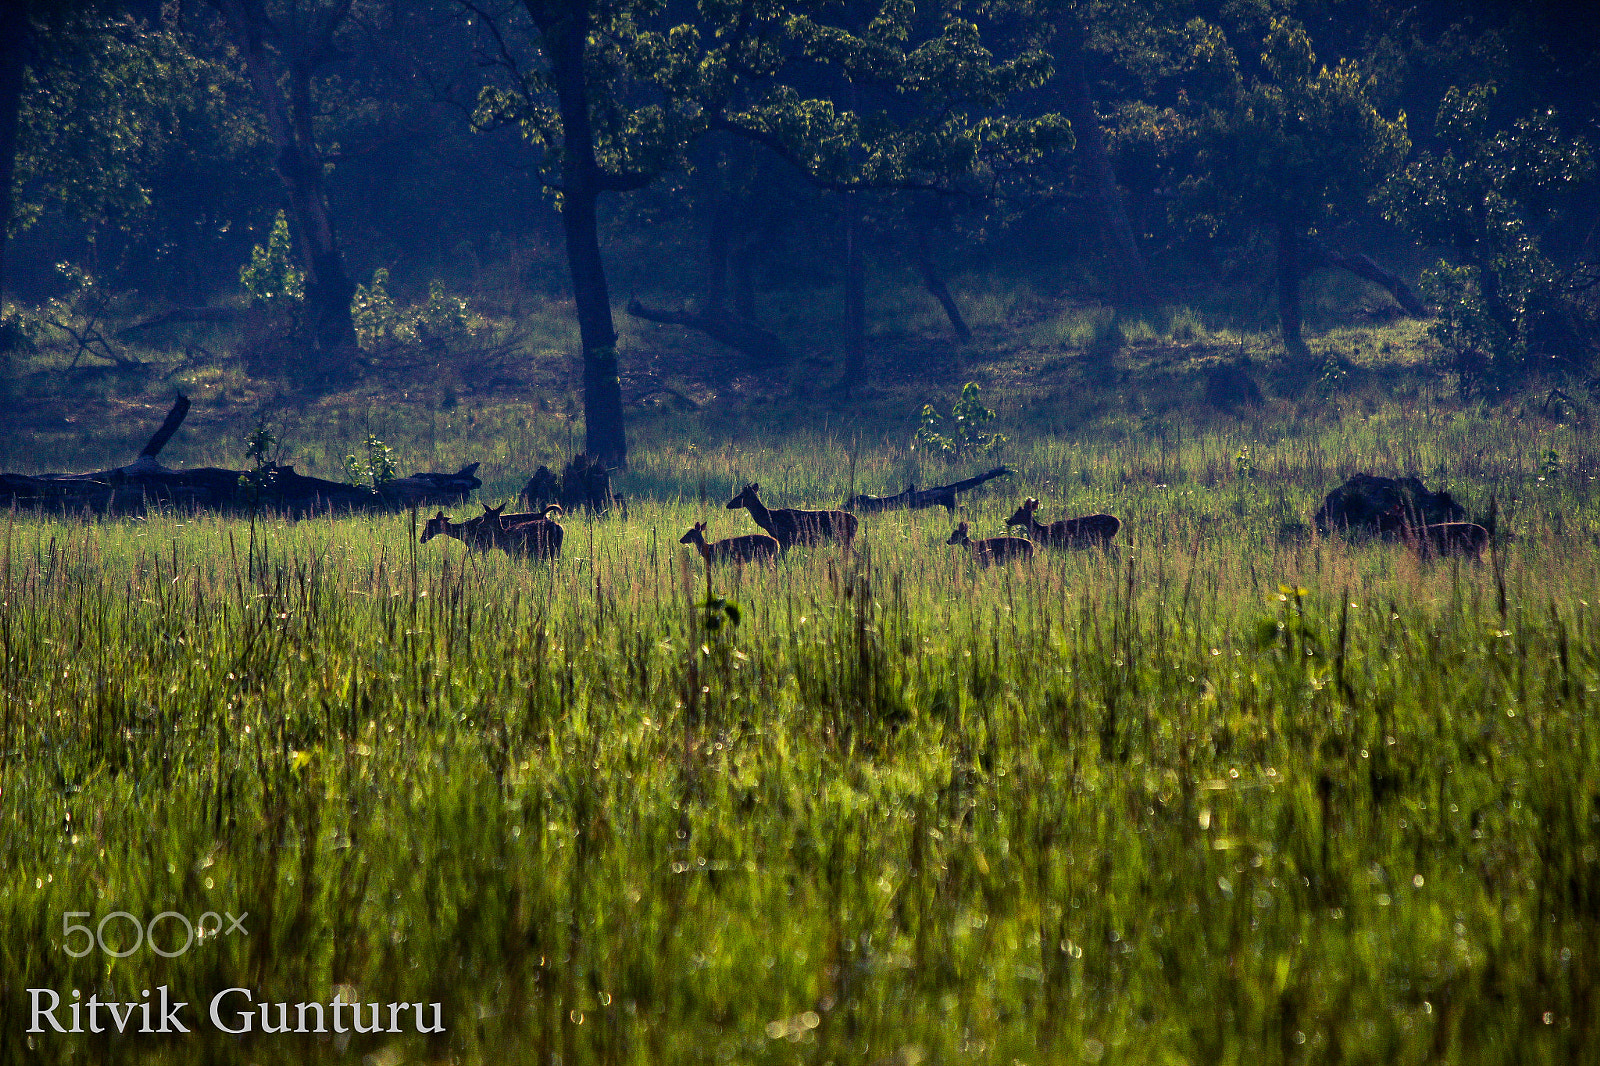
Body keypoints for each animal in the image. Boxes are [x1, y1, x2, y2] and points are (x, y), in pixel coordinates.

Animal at [726, 483, 858, 549]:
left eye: (741, 495)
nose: (728, 505)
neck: (770, 519)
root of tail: (856, 520)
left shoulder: (785, 539)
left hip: (843, 538)